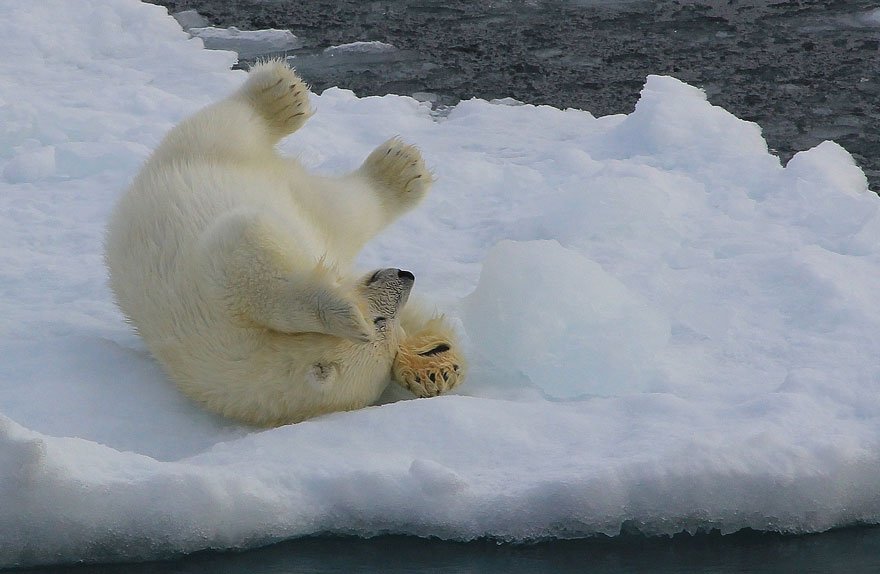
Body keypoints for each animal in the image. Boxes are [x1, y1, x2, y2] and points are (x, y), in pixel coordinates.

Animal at [105, 60, 464, 428]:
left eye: (393, 326)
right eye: (380, 322)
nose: (406, 276)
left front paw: (434, 363)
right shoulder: (223, 310)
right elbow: (250, 255)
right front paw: (346, 317)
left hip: (302, 204)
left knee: (346, 208)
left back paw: (398, 169)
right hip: (202, 158)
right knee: (226, 125)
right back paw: (284, 97)